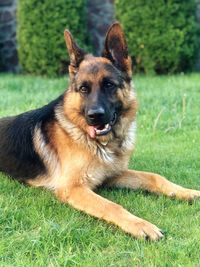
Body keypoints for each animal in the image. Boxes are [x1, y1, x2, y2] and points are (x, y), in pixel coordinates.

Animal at [0, 22, 200, 241]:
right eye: (83, 89)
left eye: (109, 85)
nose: (94, 116)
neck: (103, 144)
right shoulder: (73, 188)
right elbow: (111, 206)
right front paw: (141, 225)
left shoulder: (111, 175)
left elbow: (153, 176)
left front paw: (185, 192)